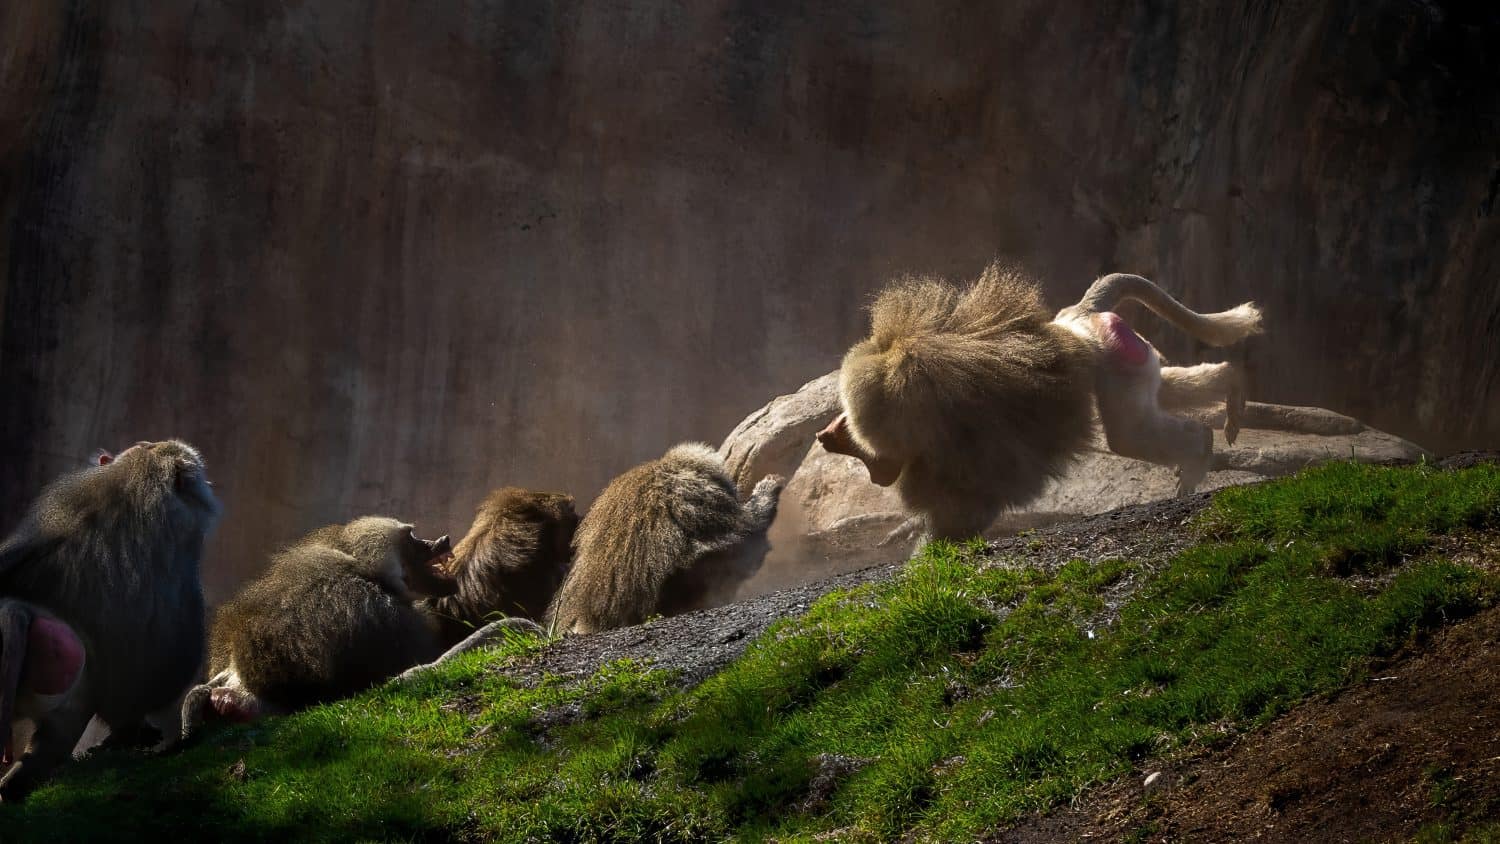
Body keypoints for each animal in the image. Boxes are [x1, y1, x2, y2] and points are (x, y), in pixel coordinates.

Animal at [817, 265, 1263, 541]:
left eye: (852, 436)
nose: (824, 435)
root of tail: (1078, 317)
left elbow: (967, 501)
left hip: (1113, 355)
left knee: (1128, 434)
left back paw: (1199, 450)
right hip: (1126, 358)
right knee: (1152, 404)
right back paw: (1228, 390)